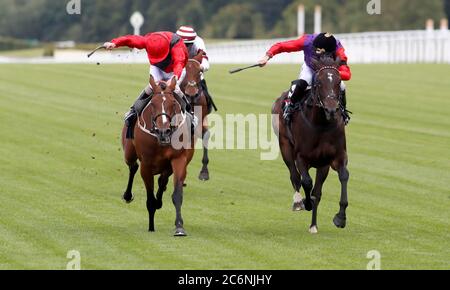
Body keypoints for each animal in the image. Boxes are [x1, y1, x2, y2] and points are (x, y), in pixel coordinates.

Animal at [121, 75, 195, 236]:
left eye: (173, 103)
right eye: (153, 104)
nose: (163, 131)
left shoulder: (179, 159)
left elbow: (177, 194)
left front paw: (179, 227)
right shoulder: (146, 165)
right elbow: (149, 198)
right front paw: (151, 226)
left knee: (162, 180)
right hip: (129, 153)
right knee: (133, 166)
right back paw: (128, 195)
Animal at [272, 55, 350, 234]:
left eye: (338, 82)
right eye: (319, 83)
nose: (331, 110)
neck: (321, 124)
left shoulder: (334, 158)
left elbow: (343, 176)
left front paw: (340, 218)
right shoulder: (301, 157)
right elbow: (306, 181)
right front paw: (306, 203)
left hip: (322, 165)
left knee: (317, 191)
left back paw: (313, 225)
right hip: (285, 146)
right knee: (295, 176)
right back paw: (298, 202)